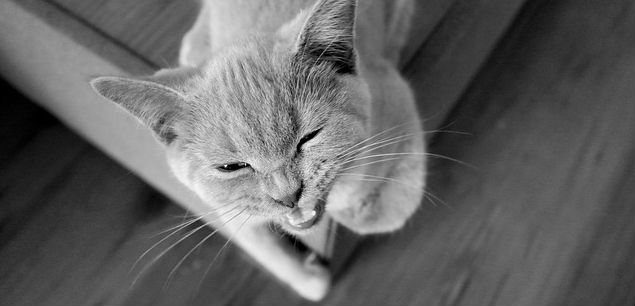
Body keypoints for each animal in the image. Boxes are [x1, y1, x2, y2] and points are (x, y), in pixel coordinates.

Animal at [89, 0, 428, 302]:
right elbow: (265, 247)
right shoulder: (225, 207)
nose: (288, 195)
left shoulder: (394, 100)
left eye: (308, 137)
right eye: (232, 167)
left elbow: (383, 206)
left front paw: (351, 200)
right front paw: (311, 278)